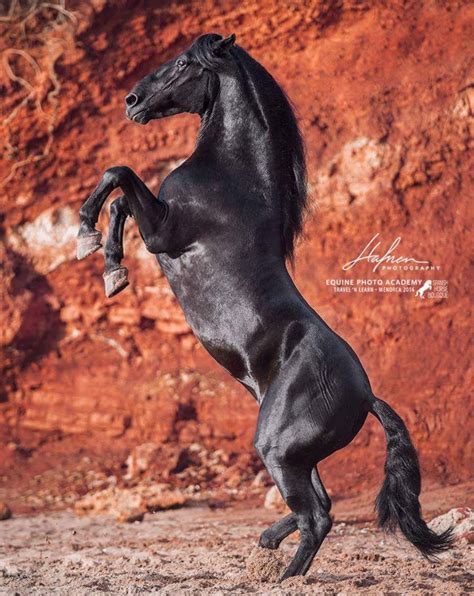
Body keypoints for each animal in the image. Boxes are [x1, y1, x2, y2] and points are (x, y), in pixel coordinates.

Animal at [77, 33, 452, 584]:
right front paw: (112, 272)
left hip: (276, 447)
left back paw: (284, 574)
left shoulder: (163, 230)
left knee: (316, 516)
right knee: (321, 505)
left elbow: (119, 176)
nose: (132, 101)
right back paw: (269, 542)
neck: (232, 178)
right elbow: (122, 197)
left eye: (184, 63)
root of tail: (368, 396)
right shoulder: (158, 224)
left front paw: (87, 236)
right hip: (298, 454)